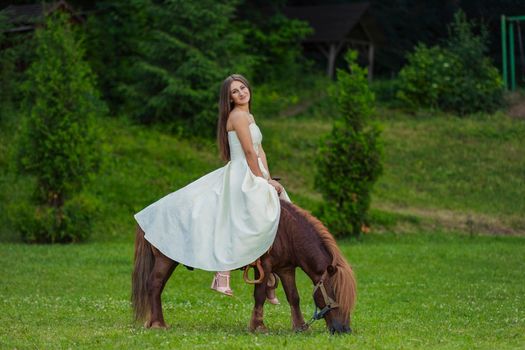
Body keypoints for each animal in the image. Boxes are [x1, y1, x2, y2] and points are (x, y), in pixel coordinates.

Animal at [131, 200, 356, 334]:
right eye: (335, 292)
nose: (344, 330)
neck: (286, 230)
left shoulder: (286, 269)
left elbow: (294, 297)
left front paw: (300, 326)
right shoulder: (264, 266)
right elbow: (260, 295)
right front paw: (258, 326)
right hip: (165, 260)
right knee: (154, 285)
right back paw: (158, 324)